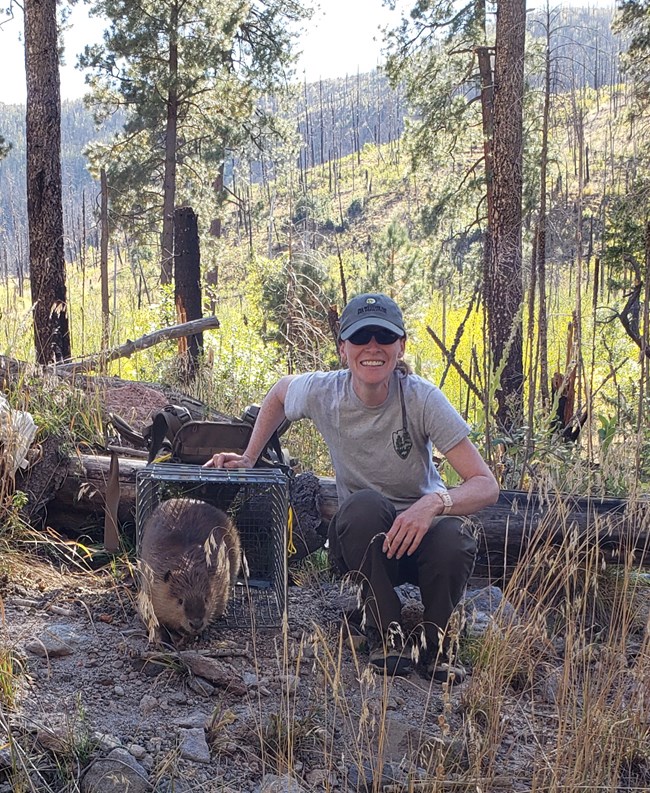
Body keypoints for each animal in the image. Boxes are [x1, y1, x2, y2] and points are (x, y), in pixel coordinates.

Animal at [137, 496, 240, 644]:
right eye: (180, 601)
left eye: (206, 599)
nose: (196, 624)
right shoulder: (149, 582)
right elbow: (147, 614)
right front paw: (159, 637)